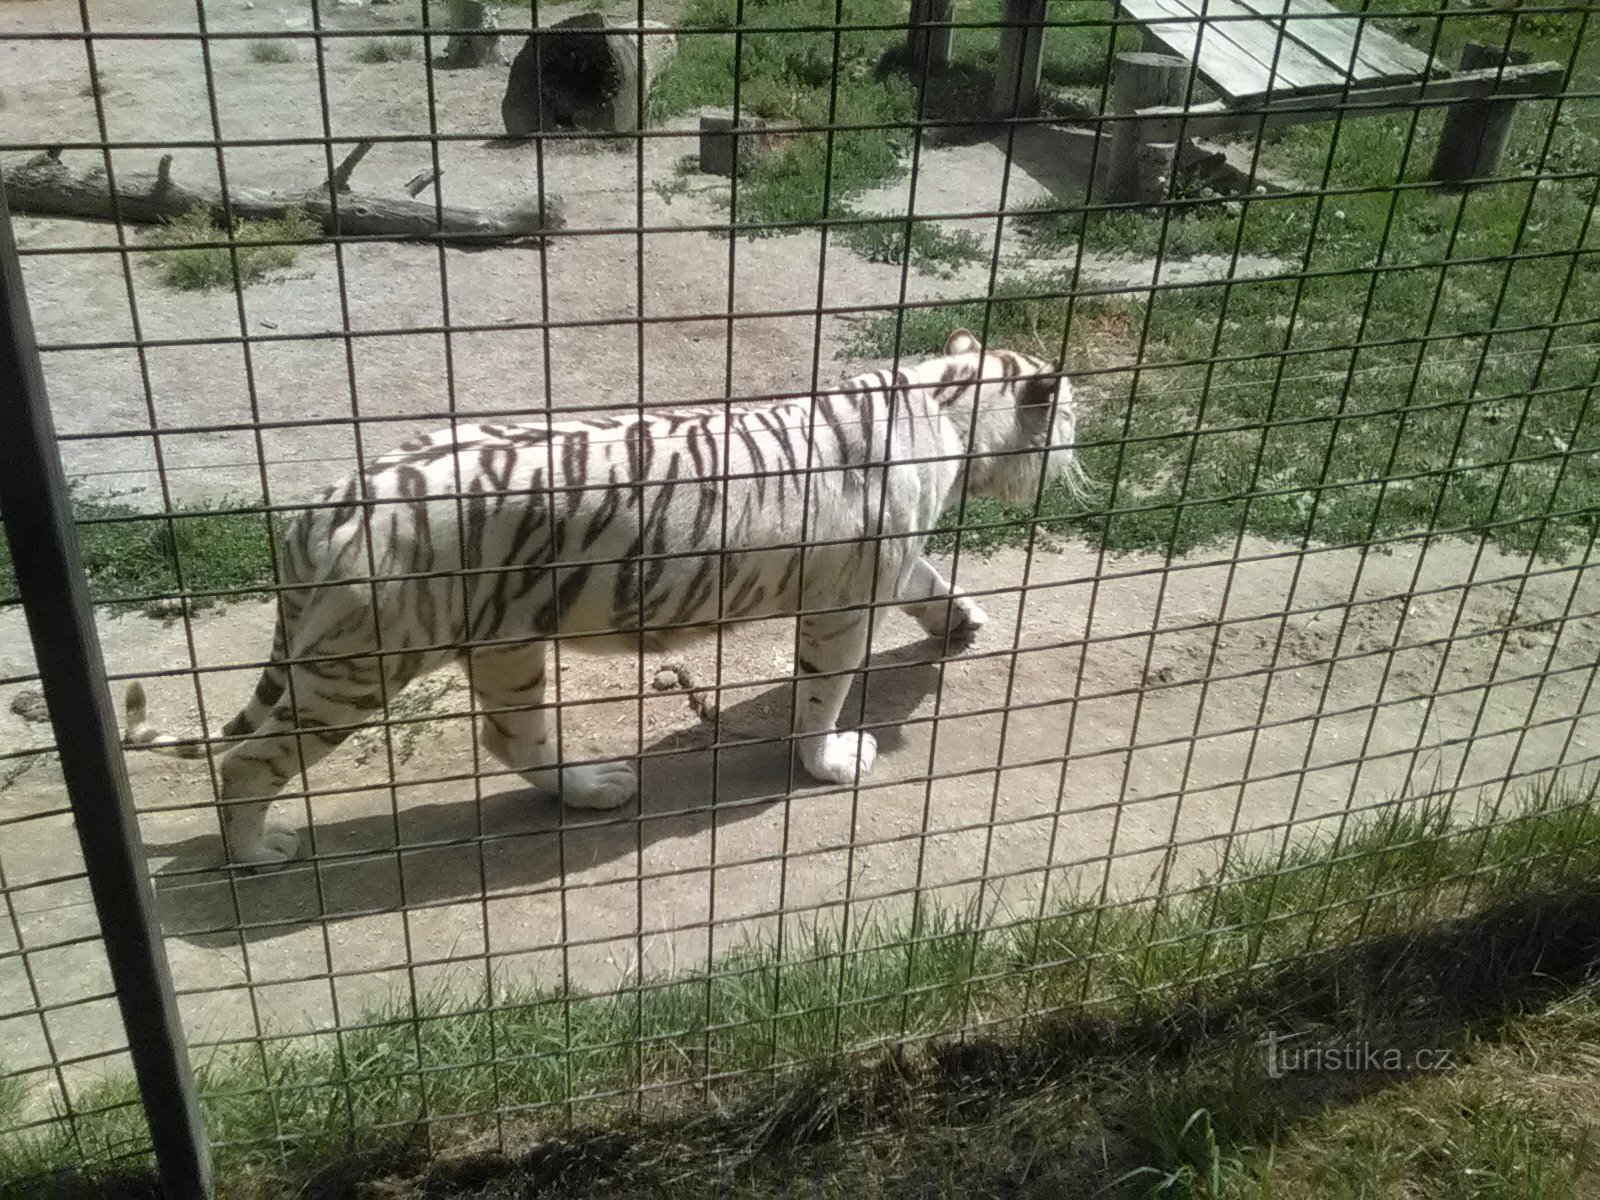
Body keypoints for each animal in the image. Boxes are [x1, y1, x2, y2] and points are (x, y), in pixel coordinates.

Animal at [121, 329, 1075, 864]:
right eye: (1066, 416)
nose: (1076, 448)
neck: (948, 408)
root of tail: (325, 504)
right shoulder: (845, 602)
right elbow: (822, 693)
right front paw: (833, 761)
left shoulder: (889, 566)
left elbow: (933, 582)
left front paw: (963, 621)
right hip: (359, 662)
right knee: (247, 761)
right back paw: (259, 850)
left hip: (503, 646)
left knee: (512, 738)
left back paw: (593, 788)